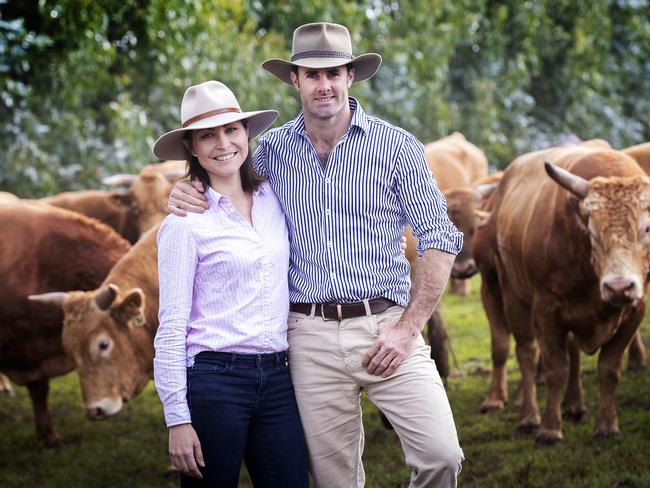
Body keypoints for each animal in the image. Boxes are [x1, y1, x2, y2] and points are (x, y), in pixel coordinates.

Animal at [470, 143, 648, 444]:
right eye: (592, 232)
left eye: (646, 228)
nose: (619, 287)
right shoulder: (546, 309)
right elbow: (555, 369)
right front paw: (549, 429)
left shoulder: (635, 310)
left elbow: (609, 368)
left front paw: (607, 425)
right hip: (512, 296)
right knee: (527, 353)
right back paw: (529, 416)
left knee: (573, 352)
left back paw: (574, 405)